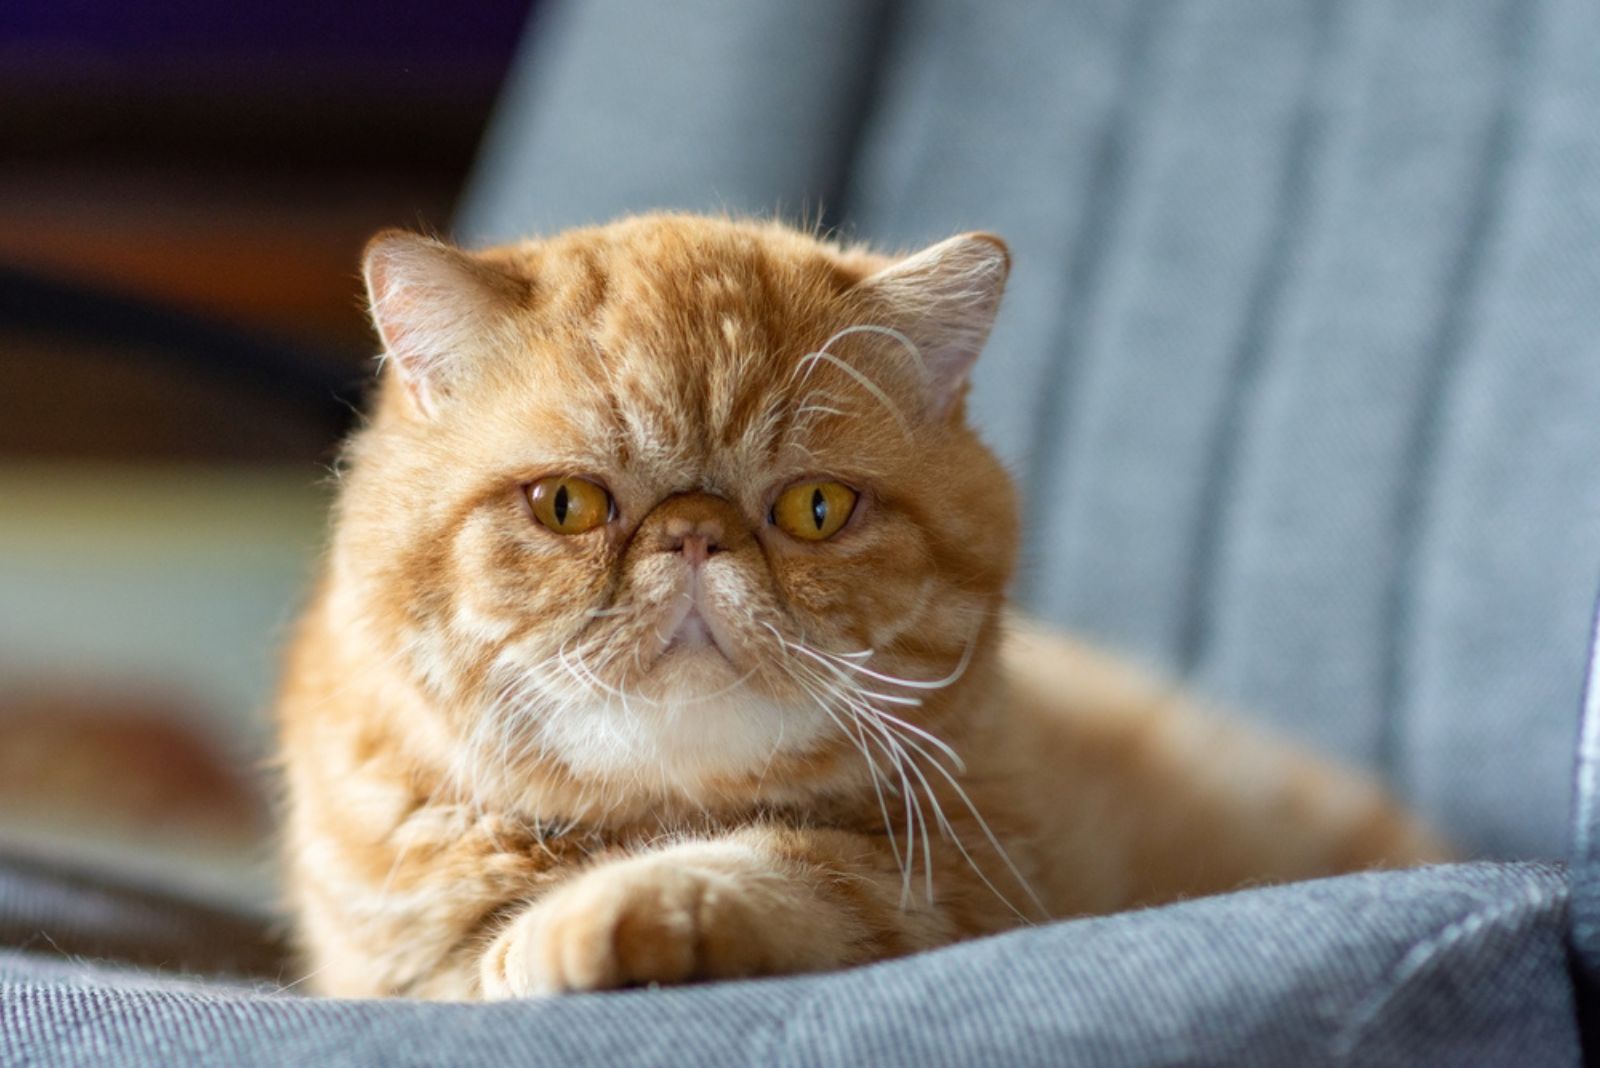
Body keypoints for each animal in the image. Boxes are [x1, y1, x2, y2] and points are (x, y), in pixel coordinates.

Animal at [278, 211, 1452, 1004]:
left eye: (815, 508)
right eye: (568, 505)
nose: (694, 534)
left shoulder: (961, 892)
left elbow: (792, 866)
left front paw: (597, 915)